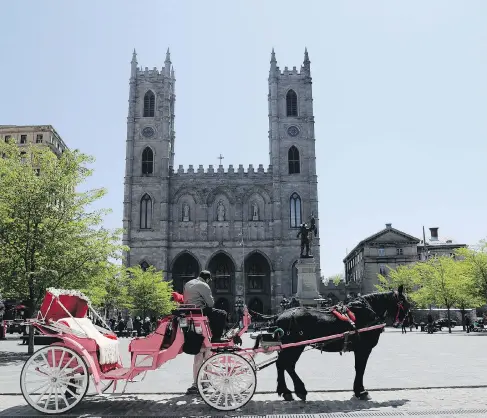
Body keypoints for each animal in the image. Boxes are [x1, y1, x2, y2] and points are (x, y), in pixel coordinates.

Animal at [268, 288, 410, 402]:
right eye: (404, 301)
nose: (407, 318)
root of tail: (279, 316)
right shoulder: (363, 349)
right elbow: (360, 368)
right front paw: (361, 391)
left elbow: (359, 368)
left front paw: (358, 390)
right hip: (295, 347)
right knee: (286, 365)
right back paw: (297, 390)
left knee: (282, 365)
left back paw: (287, 391)